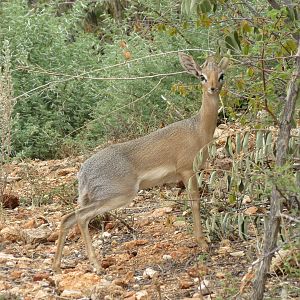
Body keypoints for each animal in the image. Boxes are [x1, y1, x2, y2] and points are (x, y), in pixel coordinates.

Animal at [52, 52, 230, 274]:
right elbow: (195, 203)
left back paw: (57, 267)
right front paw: (203, 243)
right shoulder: (187, 171)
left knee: (67, 218)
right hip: (119, 195)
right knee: (80, 217)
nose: (213, 88)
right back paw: (96, 265)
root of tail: (83, 172)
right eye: (201, 76)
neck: (198, 129)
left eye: (221, 75)